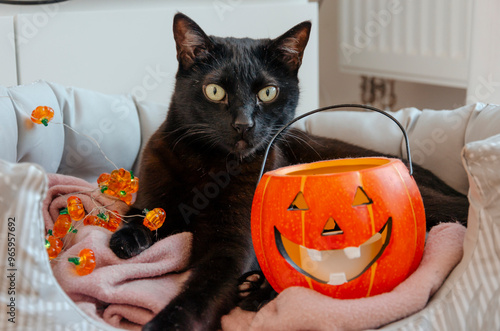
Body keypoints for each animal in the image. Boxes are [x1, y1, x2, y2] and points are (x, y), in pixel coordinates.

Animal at [110, 13, 468, 331]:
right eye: (215, 91)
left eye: (268, 93)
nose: (243, 124)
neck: (209, 164)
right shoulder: (154, 191)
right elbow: (142, 213)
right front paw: (126, 239)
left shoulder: (233, 246)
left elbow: (203, 293)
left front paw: (168, 323)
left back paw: (256, 291)